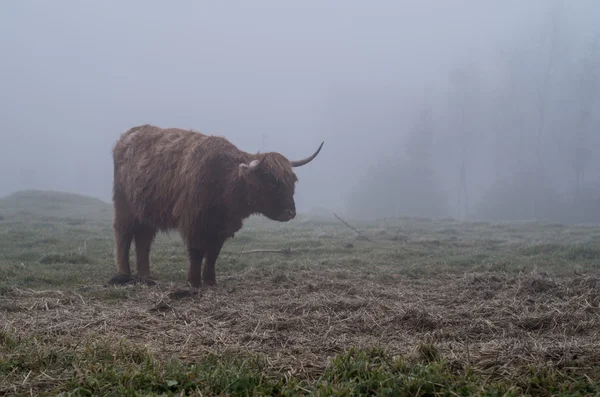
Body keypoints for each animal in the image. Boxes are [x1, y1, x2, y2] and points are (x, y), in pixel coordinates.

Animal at [108, 122, 324, 286]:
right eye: (271, 182)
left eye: (292, 181)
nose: (290, 212)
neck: (224, 180)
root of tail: (128, 135)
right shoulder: (193, 221)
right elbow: (197, 252)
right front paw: (194, 282)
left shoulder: (221, 227)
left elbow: (213, 253)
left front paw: (210, 281)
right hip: (124, 206)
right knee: (123, 235)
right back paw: (124, 274)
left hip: (146, 211)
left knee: (143, 240)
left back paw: (146, 276)